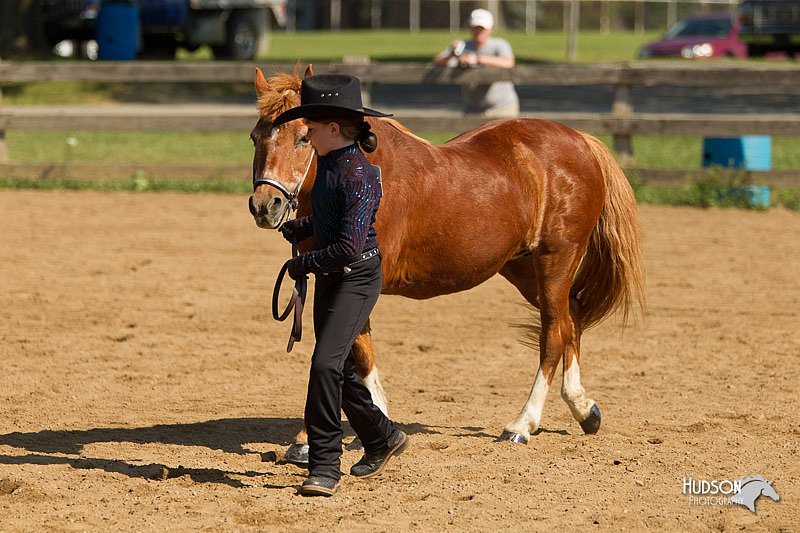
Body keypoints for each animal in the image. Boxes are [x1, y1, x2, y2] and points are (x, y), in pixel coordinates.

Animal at [247, 64, 648, 460]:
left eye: (304, 137)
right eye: (254, 137)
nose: (265, 205)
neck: (363, 171)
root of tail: (581, 140)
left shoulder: (360, 274)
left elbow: (352, 350)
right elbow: (347, 351)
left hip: (556, 258)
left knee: (554, 332)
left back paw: (522, 425)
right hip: (521, 265)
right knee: (573, 316)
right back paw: (584, 409)